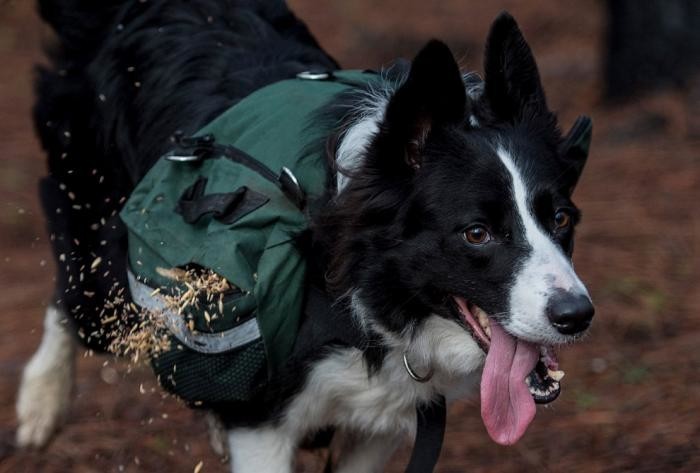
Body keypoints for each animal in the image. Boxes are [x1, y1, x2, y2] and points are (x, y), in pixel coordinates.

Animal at [19, 1, 592, 470]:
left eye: (562, 219)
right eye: (476, 233)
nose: (577, 316)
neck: (357, 292)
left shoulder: (380, 424)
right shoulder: (262, 428)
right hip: (108, 259)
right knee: (71, 295)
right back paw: (39, 403)